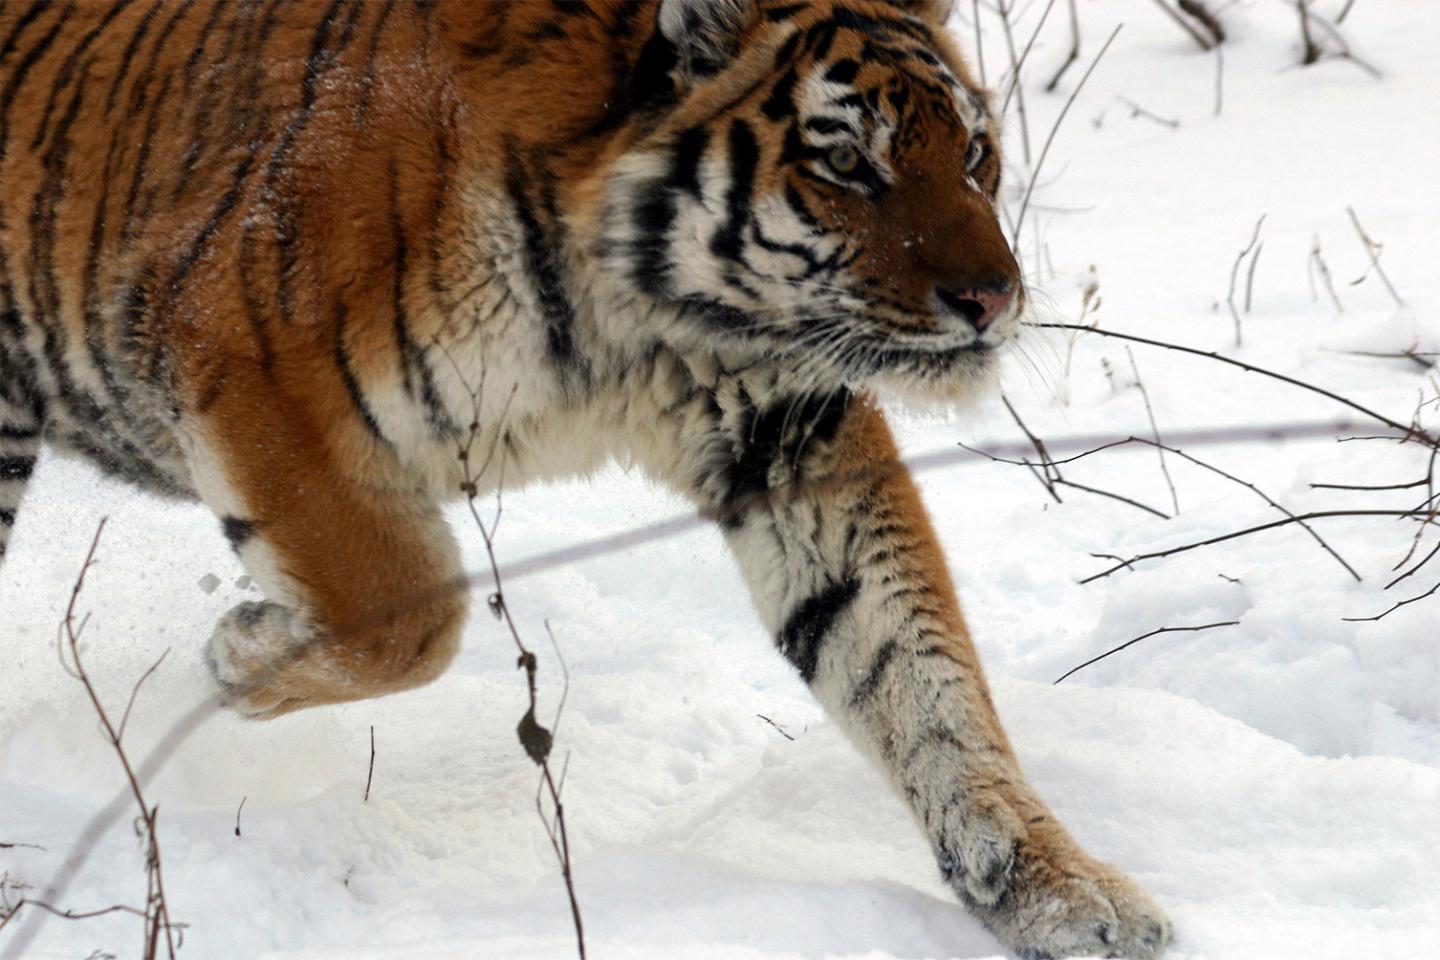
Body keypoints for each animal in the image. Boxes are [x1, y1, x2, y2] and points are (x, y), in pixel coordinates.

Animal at [0, 0, 1169, 955]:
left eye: (973, 153)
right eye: (846, 164)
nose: (992, 298)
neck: (640, 321)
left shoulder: (790, 433)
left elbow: (916, 671)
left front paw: (1056, 893)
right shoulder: (248, 361)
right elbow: (405, 612)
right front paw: (240, 658)